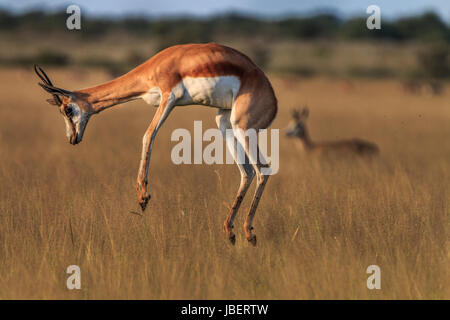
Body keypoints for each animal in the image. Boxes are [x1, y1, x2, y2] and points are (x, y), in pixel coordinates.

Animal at [34, 43, 278, 245]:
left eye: (68, 109)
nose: (72, 138)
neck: (157, 65)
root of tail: (273, 99)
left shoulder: (169, 97)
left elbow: (148, 135)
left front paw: (143, 197)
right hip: (224, 122)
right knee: (246, 172)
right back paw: (230, 231)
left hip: (242, 128)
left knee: (262, 169)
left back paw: (249, 232)